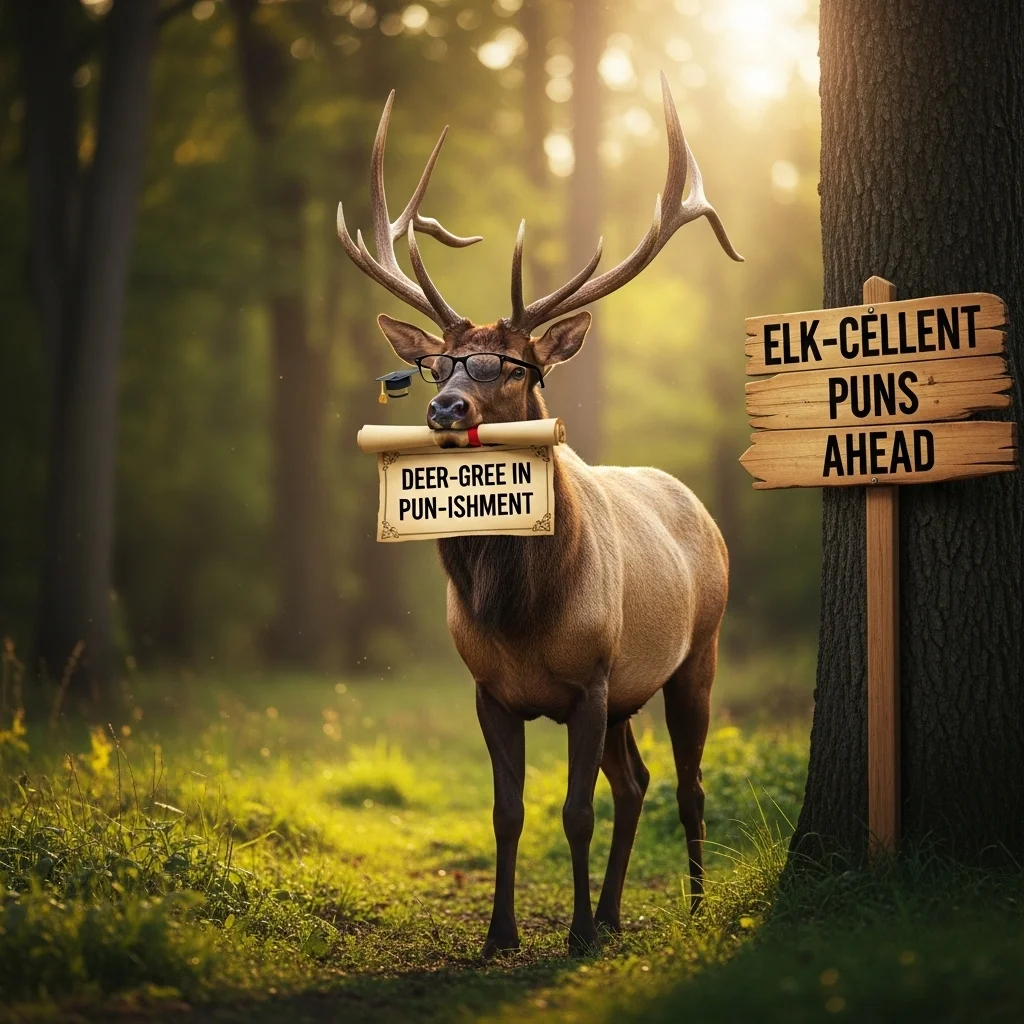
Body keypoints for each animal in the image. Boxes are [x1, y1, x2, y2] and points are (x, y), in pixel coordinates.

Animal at [337, 72, 742, 957]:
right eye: (437, 368)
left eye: (514, 368)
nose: (446, 408)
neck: (520, 615)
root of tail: (701, 509)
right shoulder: (490, 690)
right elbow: (508, 812)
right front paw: (502, 933)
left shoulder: (590, 678)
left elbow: (575, 811)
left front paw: (577, 931)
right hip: (630, 690)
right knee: (639, 781)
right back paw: (620, 912)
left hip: (697, 652)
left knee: (686, 783)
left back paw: (693, 907)